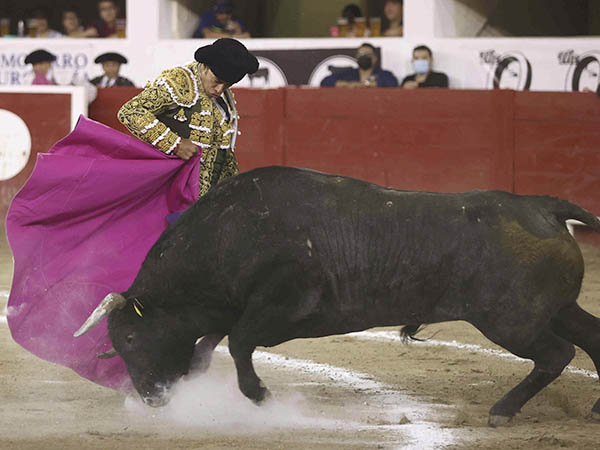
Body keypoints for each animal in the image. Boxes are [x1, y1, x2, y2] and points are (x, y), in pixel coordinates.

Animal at [75, 166, 600, 427]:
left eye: (130, 339)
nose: (152, 399)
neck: (227, 234)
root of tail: (542, 207)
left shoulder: (282, 303)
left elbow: (240, 342)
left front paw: (259, 396)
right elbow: (212, 344)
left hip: (512, 321)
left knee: (557, 354)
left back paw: (502, 411)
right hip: (555, 310)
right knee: (590, 337)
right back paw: (593, 409)